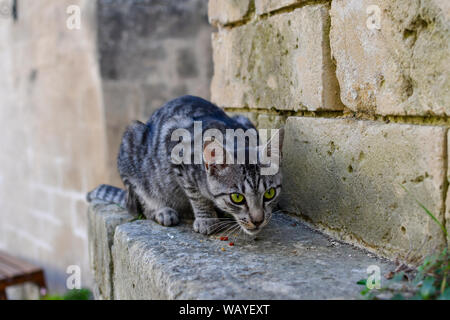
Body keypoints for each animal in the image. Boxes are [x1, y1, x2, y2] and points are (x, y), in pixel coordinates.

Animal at [86, 95, 284, 235]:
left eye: (269, 194)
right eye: (237, 198)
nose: (258, 220)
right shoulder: (174, 148)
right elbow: (196, 195)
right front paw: (206, 219)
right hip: (132, 143)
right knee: (142, 201)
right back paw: (162, 211)